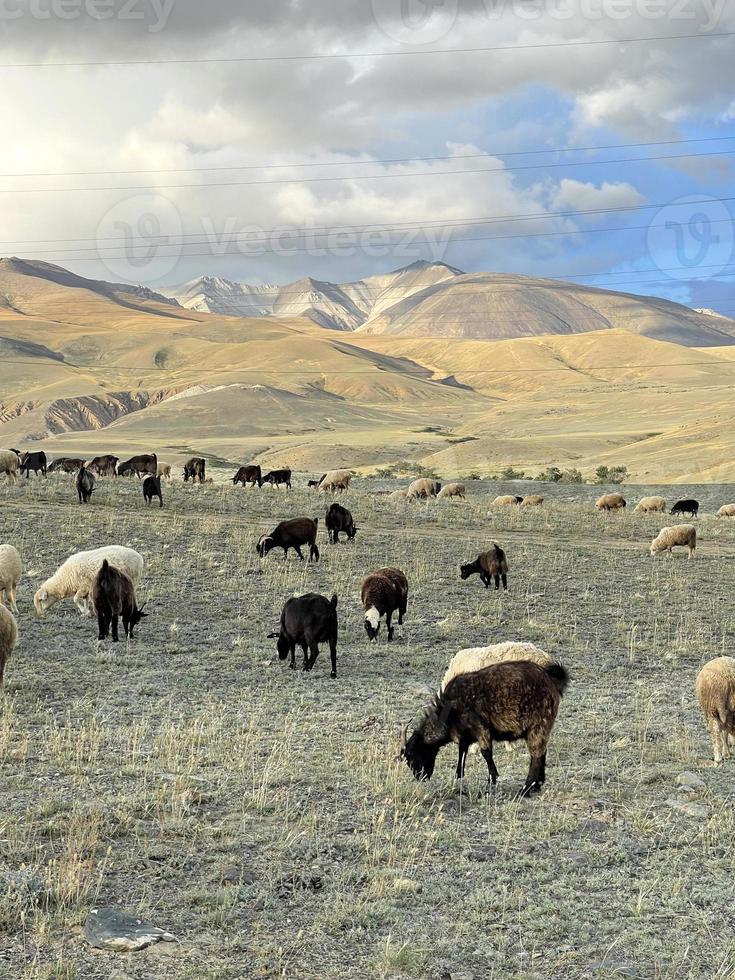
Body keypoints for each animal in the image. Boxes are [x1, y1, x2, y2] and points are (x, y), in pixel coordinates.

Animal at [402, 660, 568, 796]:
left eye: (412, 755)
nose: (420, 777)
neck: (450, 709)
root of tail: (551, 680)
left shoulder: (481, 729)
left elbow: (486, 753)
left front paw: (491, 779)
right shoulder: (465, 735)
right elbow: (462, 753)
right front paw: (458, 776)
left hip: (538, 726)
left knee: (536, 756)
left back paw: (526, 789)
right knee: (542, 753)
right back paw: (537, 785)